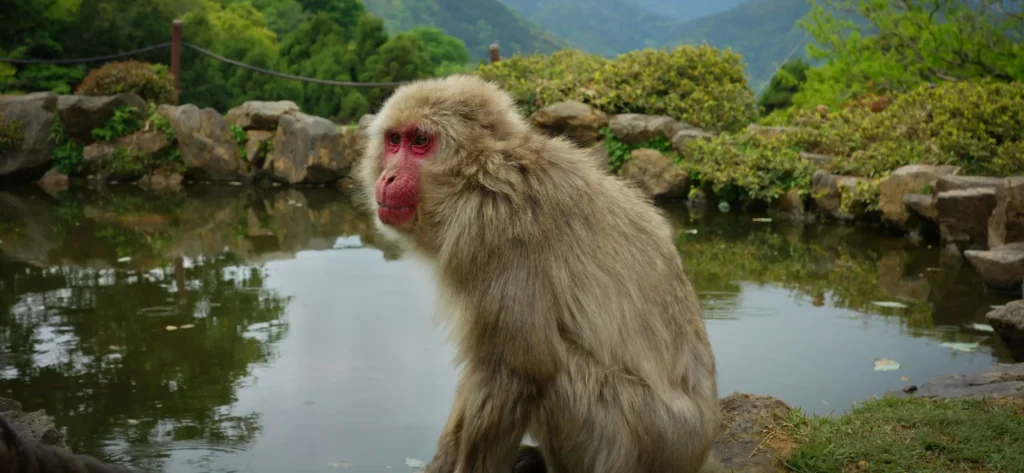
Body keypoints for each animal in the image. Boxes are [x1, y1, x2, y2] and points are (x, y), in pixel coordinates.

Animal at [356, 73, 724, 473]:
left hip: (645, 441)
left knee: (555, 375)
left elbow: (517, 370)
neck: (484, 175)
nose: (389, 177)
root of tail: (700, 449)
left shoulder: (500, 237)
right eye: (394, 140)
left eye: (420, 141)